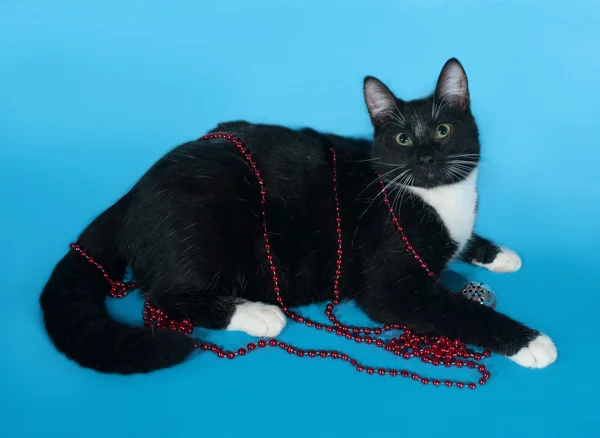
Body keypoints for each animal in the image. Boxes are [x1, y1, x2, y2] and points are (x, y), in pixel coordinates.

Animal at [39, 57, 556, 372]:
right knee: (166, 296)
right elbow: (458, 310)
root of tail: (133, 190)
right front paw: (530, 341)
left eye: (444, 130)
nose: (426, 158)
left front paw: (496, 252)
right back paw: (258, 313)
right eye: (403, 139)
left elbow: (465, 242)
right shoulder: (392, 289)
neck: (439, 199)